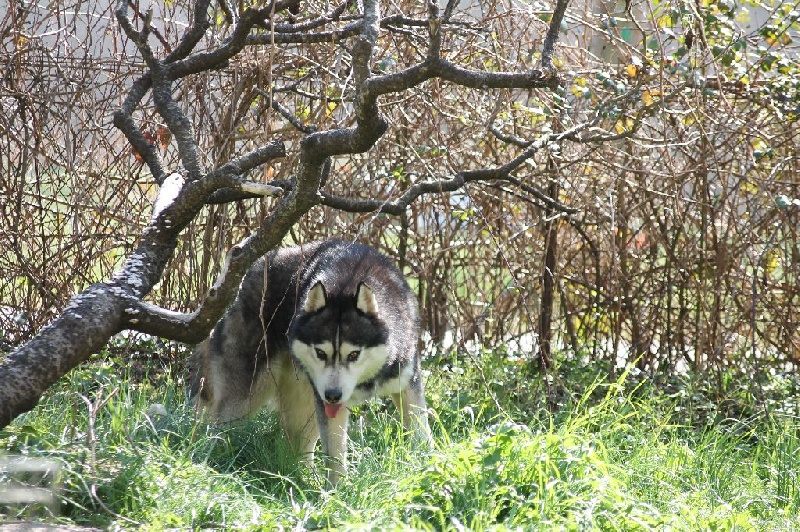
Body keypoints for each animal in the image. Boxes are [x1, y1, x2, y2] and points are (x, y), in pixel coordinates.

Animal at [189, 239, 432, 484]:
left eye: (354, 355)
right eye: (321, 353)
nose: (332, 395)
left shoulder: (408, 383)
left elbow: (421, 432)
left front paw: (427, 466)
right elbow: (335, 456)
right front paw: (338, 490)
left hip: (303, 403)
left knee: (299, 449)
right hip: (245, 399)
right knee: (220, 431)